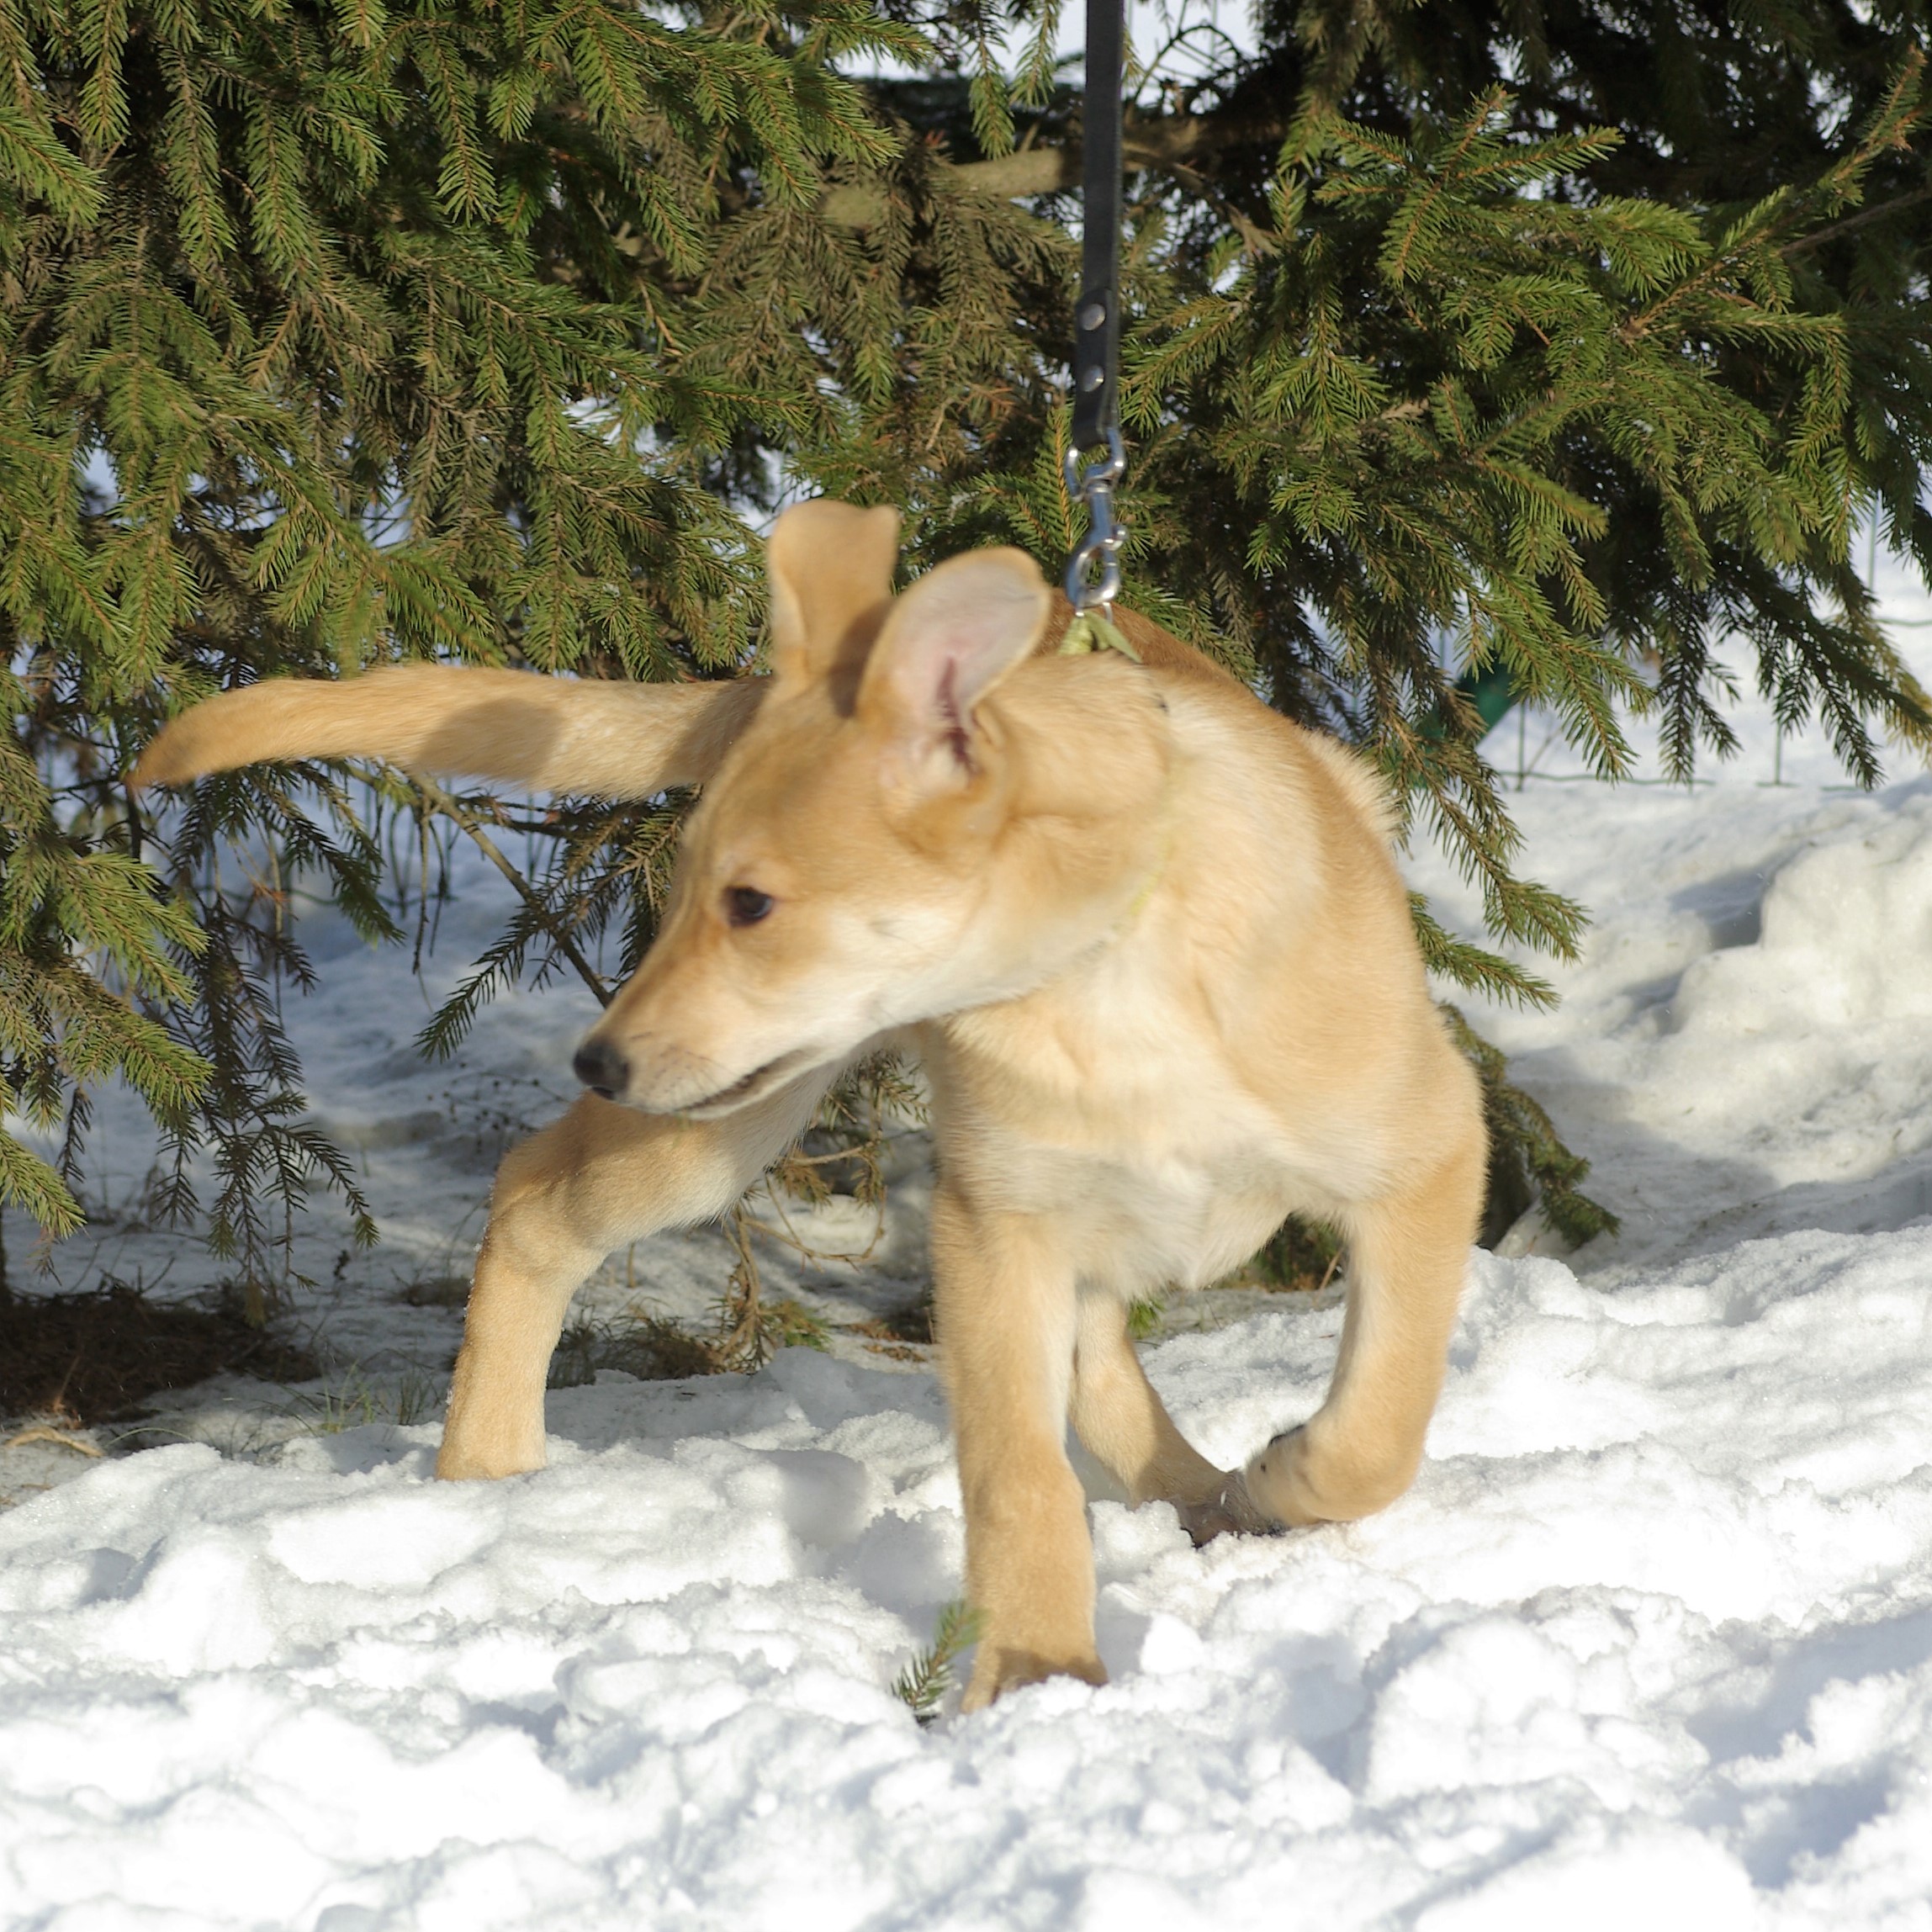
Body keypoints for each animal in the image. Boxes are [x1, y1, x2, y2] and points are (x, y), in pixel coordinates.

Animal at [136, 499, 1486, 1709]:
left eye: (750, 905)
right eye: (689, 889)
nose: (598, 1062)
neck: (1108, 969)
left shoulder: (1427, 1154)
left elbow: (1377, 1422)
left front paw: (1280, 1478)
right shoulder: (992, 1225)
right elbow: (1018, 1473)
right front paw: (1039, 1672)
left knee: (1105, 1354)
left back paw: (1203, 1492)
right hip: (727, 1123)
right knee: (530, 1195)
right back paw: (491, 1477)